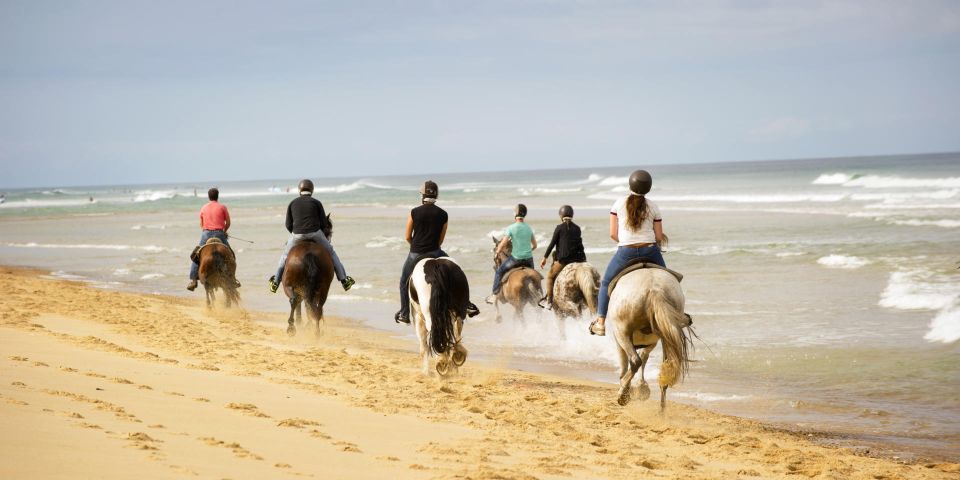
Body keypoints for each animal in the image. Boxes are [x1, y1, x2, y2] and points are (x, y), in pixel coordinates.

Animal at [612, 268, 692, 410]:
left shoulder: (620, 340)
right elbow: (644, 356)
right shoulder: (652, 343)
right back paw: (661, 409)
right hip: (667, 335)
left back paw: (623, 393)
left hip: (622, 331)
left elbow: (626, 363)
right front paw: (641, 387)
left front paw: (631, 388)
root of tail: (655, 290)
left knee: (635, 361)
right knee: (666, 370)